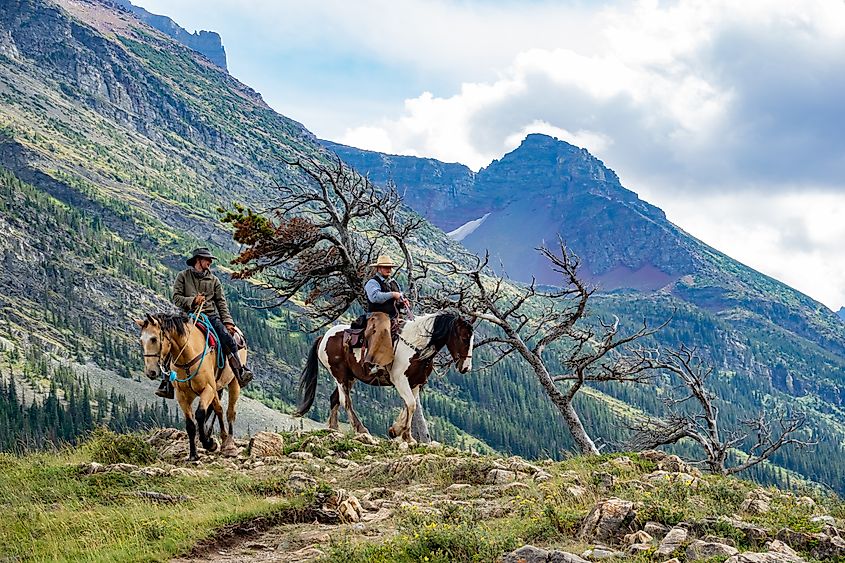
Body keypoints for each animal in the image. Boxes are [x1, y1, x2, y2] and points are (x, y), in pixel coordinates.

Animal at [134, 316, 242, 460]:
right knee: (217, 408)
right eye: (141, 340)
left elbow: (200, 414)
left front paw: (209, 444)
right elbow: (190, 424)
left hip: (233, 383)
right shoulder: (182, 395)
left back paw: (228, 444)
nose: (150, 372)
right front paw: (193, 454)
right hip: (216, 389)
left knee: (229, 412)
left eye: (154, 339)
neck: (187, 357)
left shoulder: (208, 389)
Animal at [294, 312, 472, 446]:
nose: (466, 368)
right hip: (340, 375)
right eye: (464, 338)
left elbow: (409, 405)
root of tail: (323, 337)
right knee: (345, 401)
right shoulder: (400, 380)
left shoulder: (415, 383)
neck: (415, 346)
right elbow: (411, 404)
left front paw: (398, 431)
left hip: (350, 377)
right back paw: (361, 429)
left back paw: (333, 429)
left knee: (334, 399)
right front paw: (405, 435)